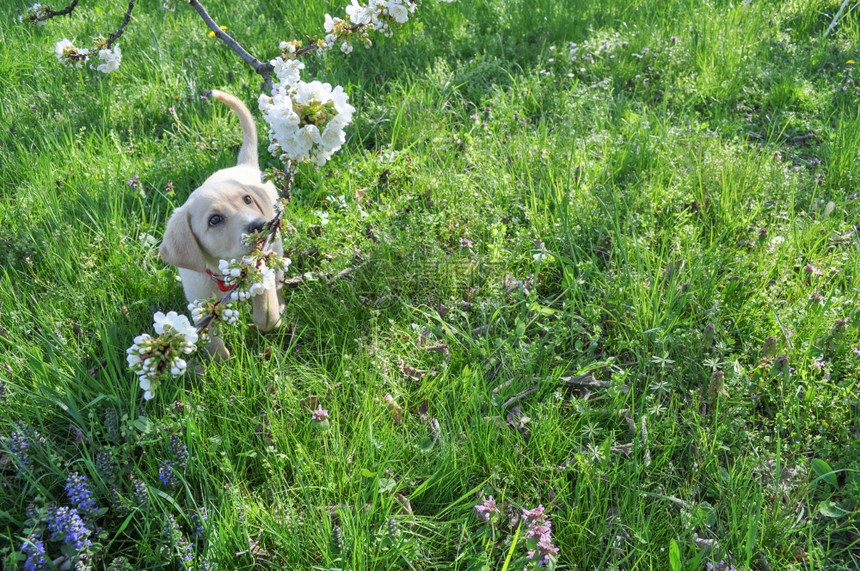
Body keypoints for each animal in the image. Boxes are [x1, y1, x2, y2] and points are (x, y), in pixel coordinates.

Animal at [160, 90, 284, 360]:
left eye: (247, 200)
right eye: (214, 220)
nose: (260, 225)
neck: (224, 273)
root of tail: (243, 166)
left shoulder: (260, 266)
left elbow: (265, 311)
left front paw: (269, 319)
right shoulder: (199, 302)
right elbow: (212, 340)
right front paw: (221, 362)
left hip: (276, 246)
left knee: (279, 275)